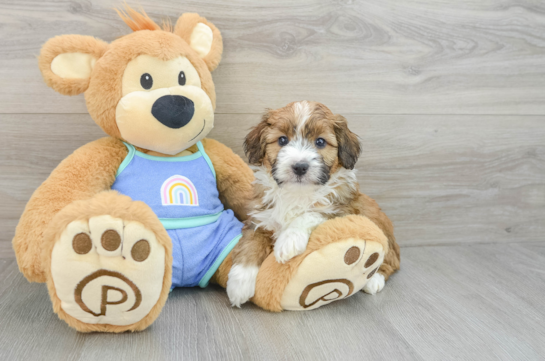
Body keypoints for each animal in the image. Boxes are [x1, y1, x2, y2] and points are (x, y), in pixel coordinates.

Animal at [223, 100, 398, 306]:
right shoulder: (261, 218)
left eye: (320, 142)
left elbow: (312, 213)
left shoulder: (342, 209)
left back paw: (374, 279)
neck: (297, 193)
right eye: (282, 140)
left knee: (391, 260)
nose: (300, 166)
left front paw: (288, 241)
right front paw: (239, 283)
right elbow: (250, 243)